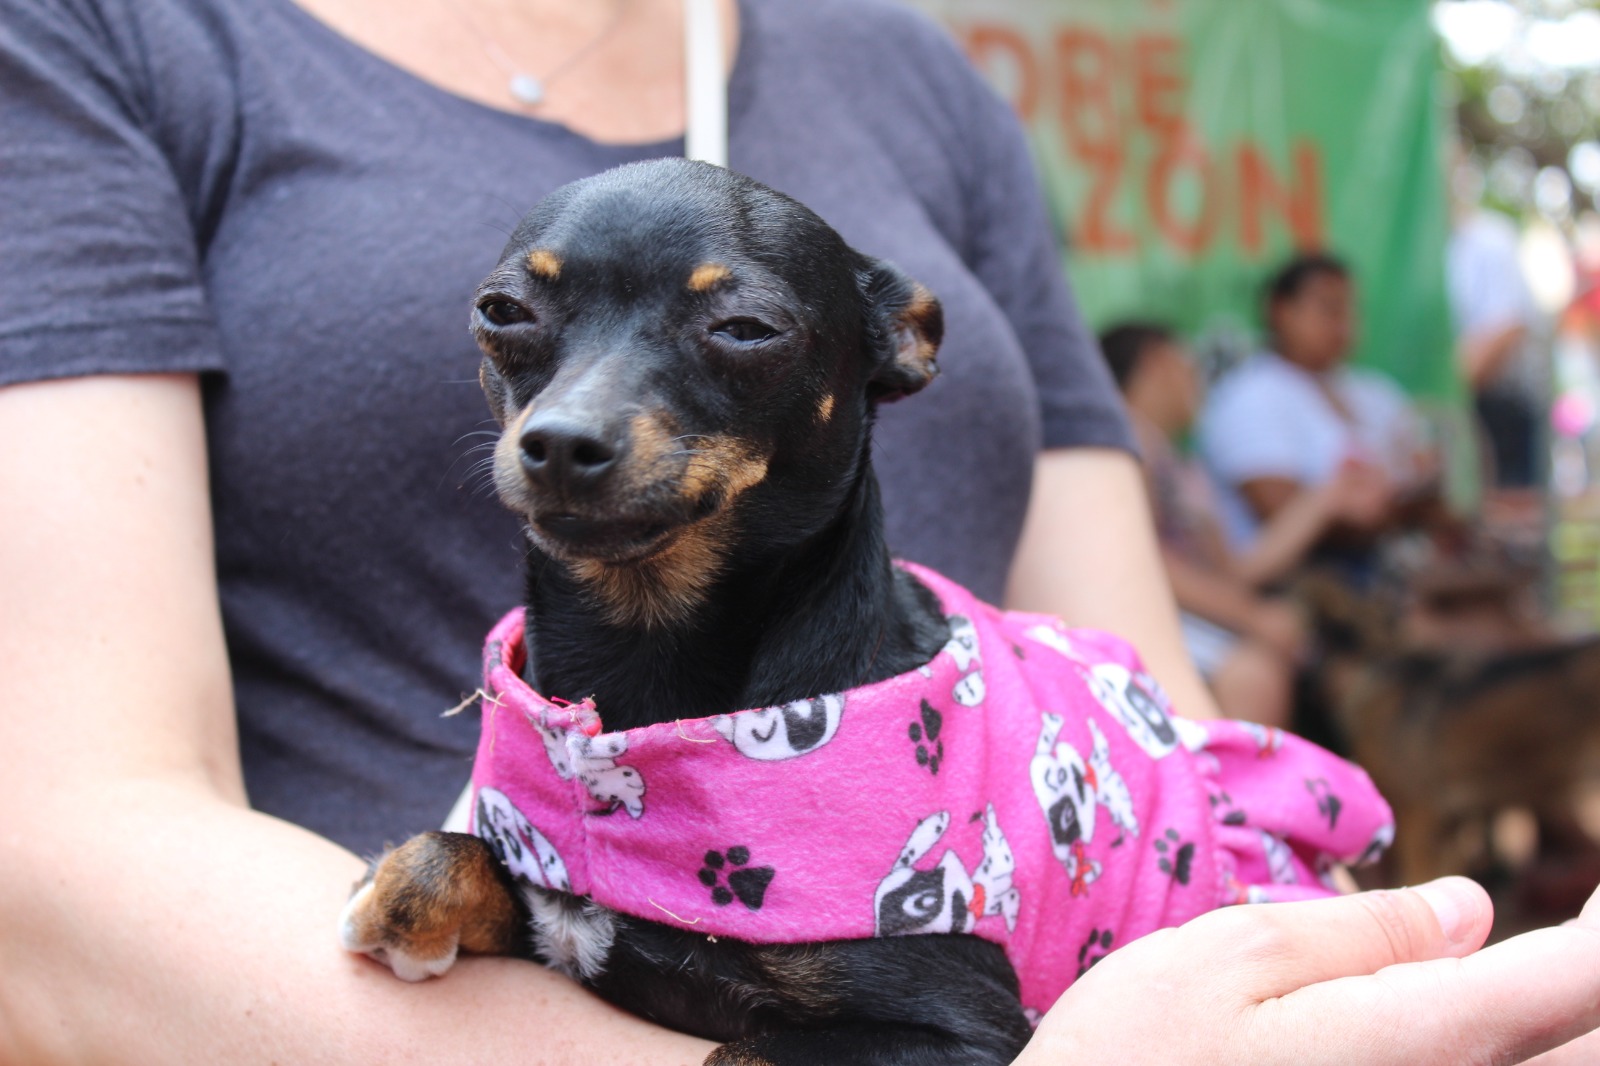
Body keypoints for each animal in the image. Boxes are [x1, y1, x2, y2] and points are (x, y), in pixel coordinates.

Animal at [342, 157, 1030, 1062]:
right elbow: (443, 862)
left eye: (745, 329)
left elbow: (737, 1052)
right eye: (501, 312)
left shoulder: (967, 1030)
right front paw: (395, 899)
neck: (645, 642)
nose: (560, 441)